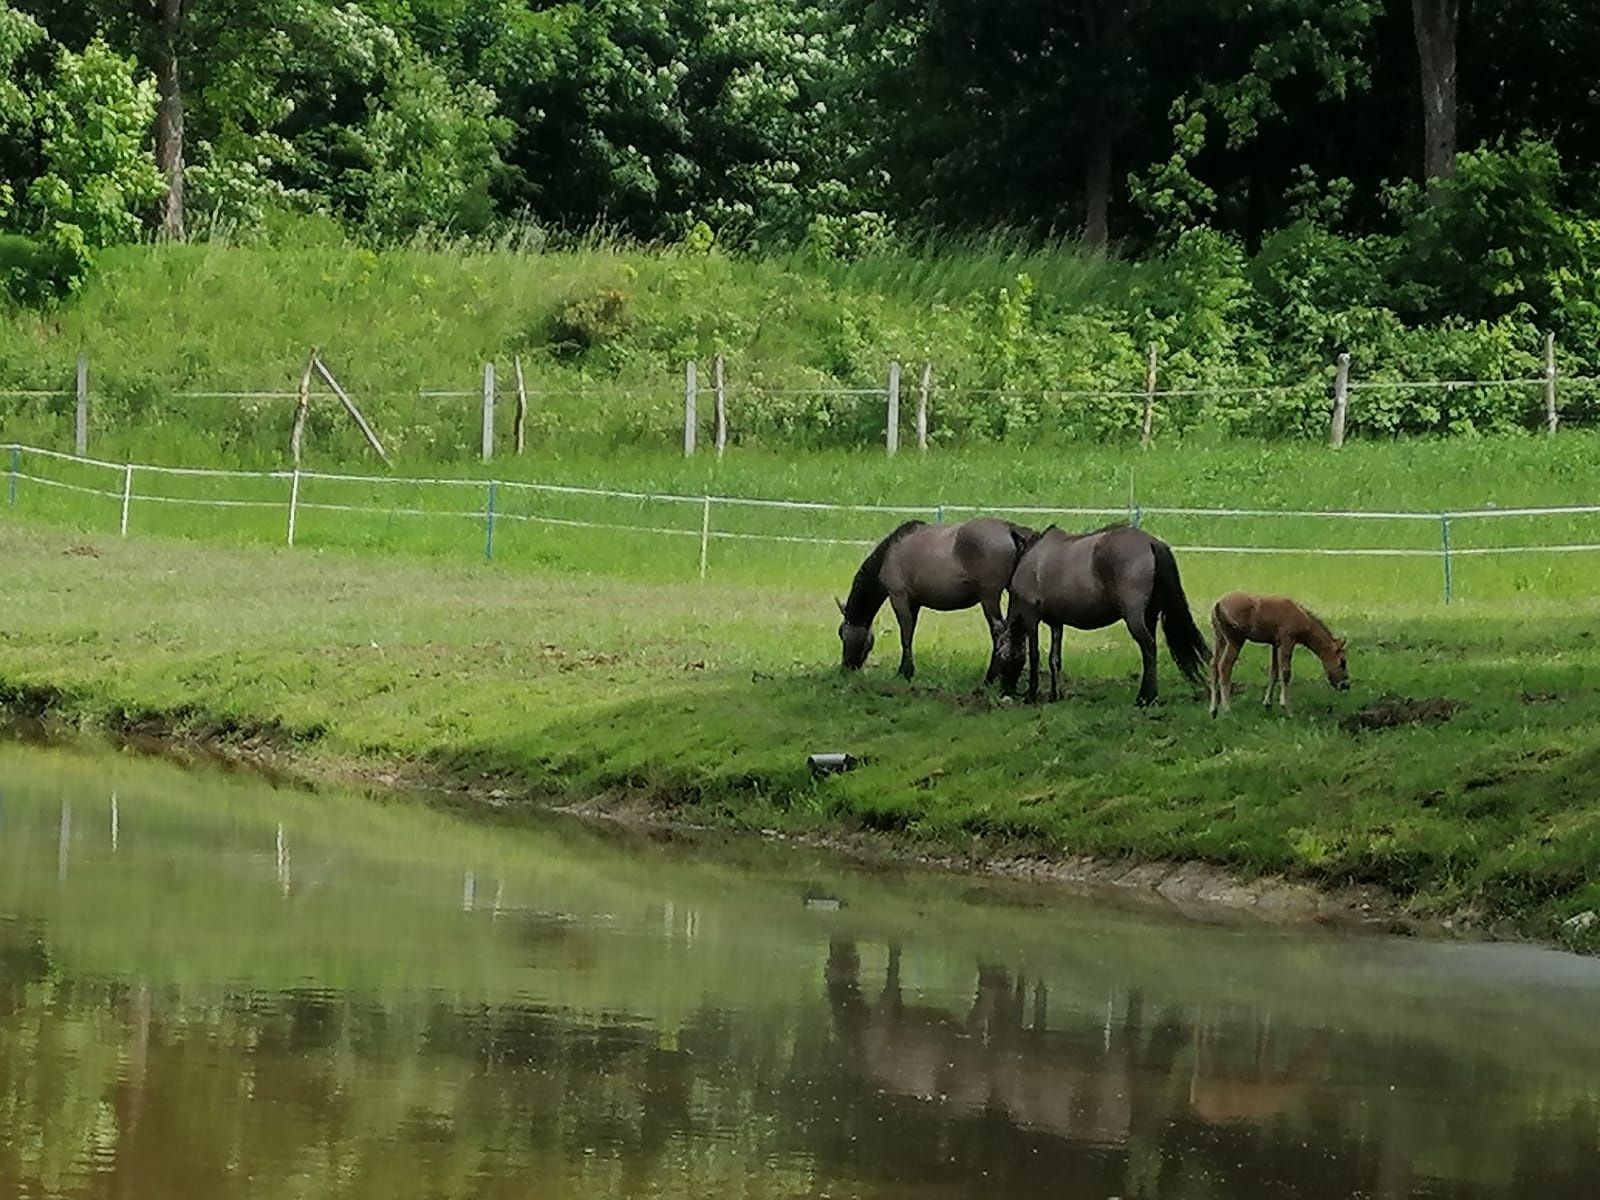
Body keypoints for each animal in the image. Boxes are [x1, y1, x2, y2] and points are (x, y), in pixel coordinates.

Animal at [838, 518, 1036, 681]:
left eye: (844, 636)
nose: (846, 667)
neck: (890, 552)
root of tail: (1011, 529)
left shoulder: (899, 597)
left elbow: (905, 634)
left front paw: (904, 672)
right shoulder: (914, 603)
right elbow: (910, 632)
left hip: (989, 597)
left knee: (998, 632)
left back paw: (990, 677)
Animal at [992, 524, 1203, 710]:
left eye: (1000, 658)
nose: (1004, 692)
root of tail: (1151, 542)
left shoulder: (1031, 617)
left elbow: (1034, 655)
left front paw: (1031, 695)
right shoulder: (1056, 623)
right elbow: (1054, 659)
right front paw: (1055, 695)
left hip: (1135, 618)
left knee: (1148, 648)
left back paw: (1145, 698)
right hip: (1149, 616)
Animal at [1209, 588, 1350, 720]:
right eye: (1342, 662)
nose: (1345, 685)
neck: (1303, 618)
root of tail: (1218, 604)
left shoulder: (1275, 644)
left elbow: (1274, 672)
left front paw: (1267, 704)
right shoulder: (1287, 640)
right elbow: (1285, 673)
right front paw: (1287, 708)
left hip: (1220, 639)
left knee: (1214, 665)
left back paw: (1213, 710)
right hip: (1235, 640)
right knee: (1224, 667)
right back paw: (1227, 709)